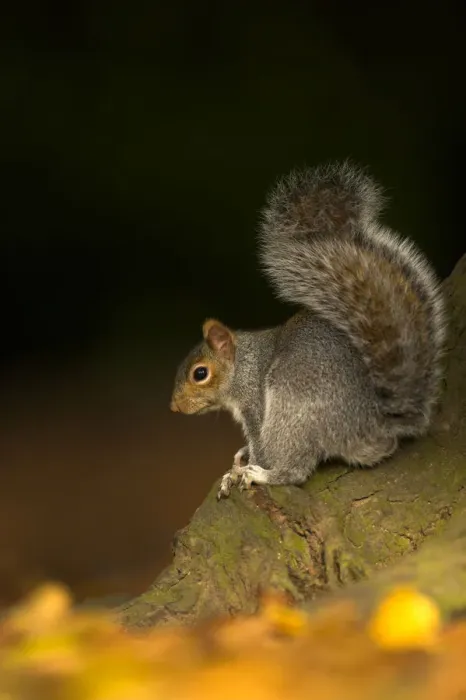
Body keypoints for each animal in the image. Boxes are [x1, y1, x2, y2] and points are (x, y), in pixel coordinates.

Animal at [170, 161, 446, 500]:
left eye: (200, 373)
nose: (174, 407)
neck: (243, 362)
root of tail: (372, 426)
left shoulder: (254, 403)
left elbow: (261, 446)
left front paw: (241, 470)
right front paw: (238, 460)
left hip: (293, 410)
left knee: (296, 469)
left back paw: (265, 475)